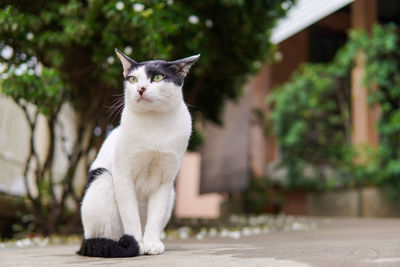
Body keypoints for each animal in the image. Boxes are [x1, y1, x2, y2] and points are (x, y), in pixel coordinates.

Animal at [76, 49, 198, 258]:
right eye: (132, 79)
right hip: (104, 179)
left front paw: (151, 244)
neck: (155, 124)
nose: (140, 88)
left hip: (171, 194)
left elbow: (155, 216)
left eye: (157, 77)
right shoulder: (123, 176)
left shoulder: (165, 181)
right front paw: (138, 244)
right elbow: (130, 216)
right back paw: (120, 244)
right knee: (107, 234)